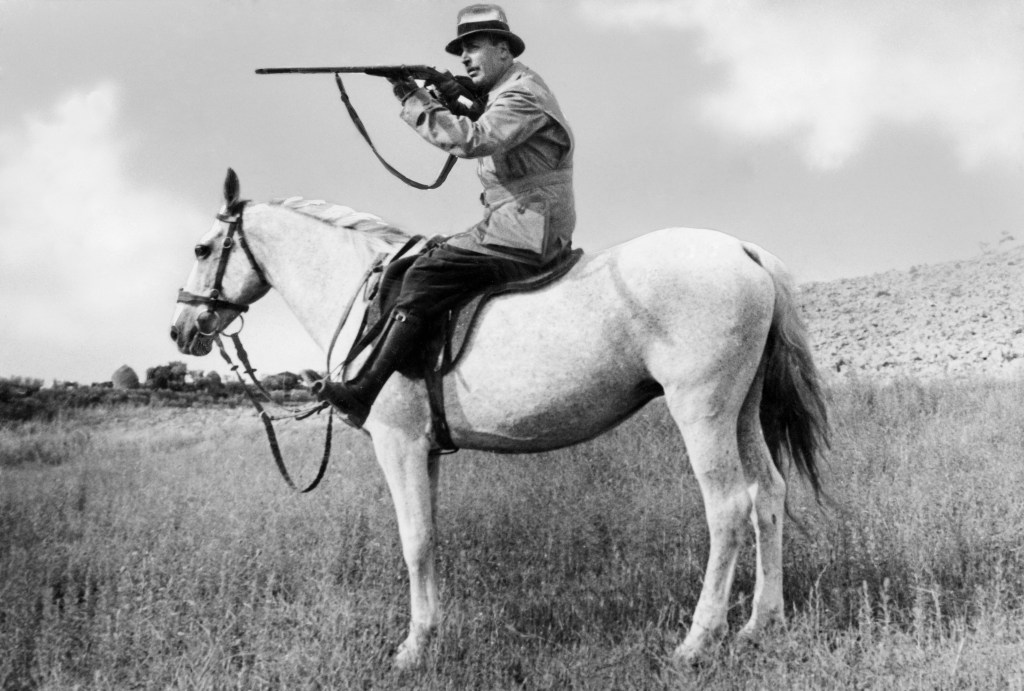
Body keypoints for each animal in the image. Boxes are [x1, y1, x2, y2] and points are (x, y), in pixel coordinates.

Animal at [170, 168, 829, 669]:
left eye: (202, 249)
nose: (182, 330)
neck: (368, 302)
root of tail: (741, 250)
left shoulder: (398, 446)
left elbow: (414, 540)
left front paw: (412, 649)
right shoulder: (426, 453)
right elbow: (431, 536)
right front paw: (431, 633)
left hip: (703, 411)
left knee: (728, 509)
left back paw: (698, 640)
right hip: (741, 411)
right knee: (768, 496)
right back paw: (760, 623)